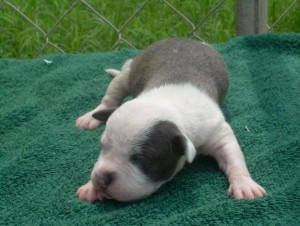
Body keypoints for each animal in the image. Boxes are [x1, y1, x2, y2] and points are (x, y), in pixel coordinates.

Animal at [75, 38, 268, 202]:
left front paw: (245, 184)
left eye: (139, 159)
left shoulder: (217, 132)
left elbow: (233, 158)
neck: (168, 104)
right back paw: (91, 116)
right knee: (112, 94)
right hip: (129, 72)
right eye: (103, 147)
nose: (101, 179)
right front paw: (90, 187)